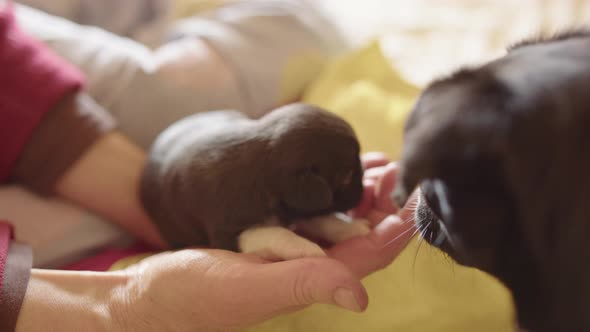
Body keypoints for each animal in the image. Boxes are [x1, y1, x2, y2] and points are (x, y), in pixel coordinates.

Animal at [141, 104, 364, 252]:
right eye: (347, 177)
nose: (363, 191)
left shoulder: (298, 207)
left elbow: (322, 218)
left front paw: (351, 227)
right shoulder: (227, 233)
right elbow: (277, 234)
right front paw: (307, 248)